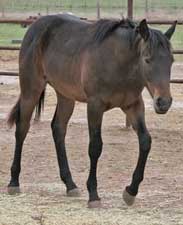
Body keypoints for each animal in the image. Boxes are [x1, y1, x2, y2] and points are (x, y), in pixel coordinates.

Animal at [6, 14, 176, 207]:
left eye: (171, 61)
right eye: (147, 59)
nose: (163, 102)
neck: (118, 63)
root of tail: (35, 27)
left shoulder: (133, 105)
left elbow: (145, 141)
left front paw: (130, 191)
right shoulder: (95, 105)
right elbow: (95, 146)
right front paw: (93, 195)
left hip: (66, 96)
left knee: (58, 129)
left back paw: (70, 185)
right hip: (31, 89)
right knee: (22, 128)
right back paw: (14, 182)